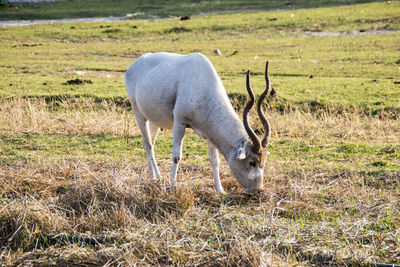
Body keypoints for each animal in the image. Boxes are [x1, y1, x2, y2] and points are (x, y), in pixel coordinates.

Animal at [124, 52, 272, 195]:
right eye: (252, 162)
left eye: (264, 162)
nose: (257, 190)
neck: (202, 84)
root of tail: (134, 65)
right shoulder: (180, 122)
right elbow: (176, 156)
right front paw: (172, 186)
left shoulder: (210, 132)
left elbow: (215, 160)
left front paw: (220, 190)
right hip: (138, 113)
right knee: (149, 145)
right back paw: (159, 178)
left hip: (154, 120)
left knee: (148, 143)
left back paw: (152, 177)